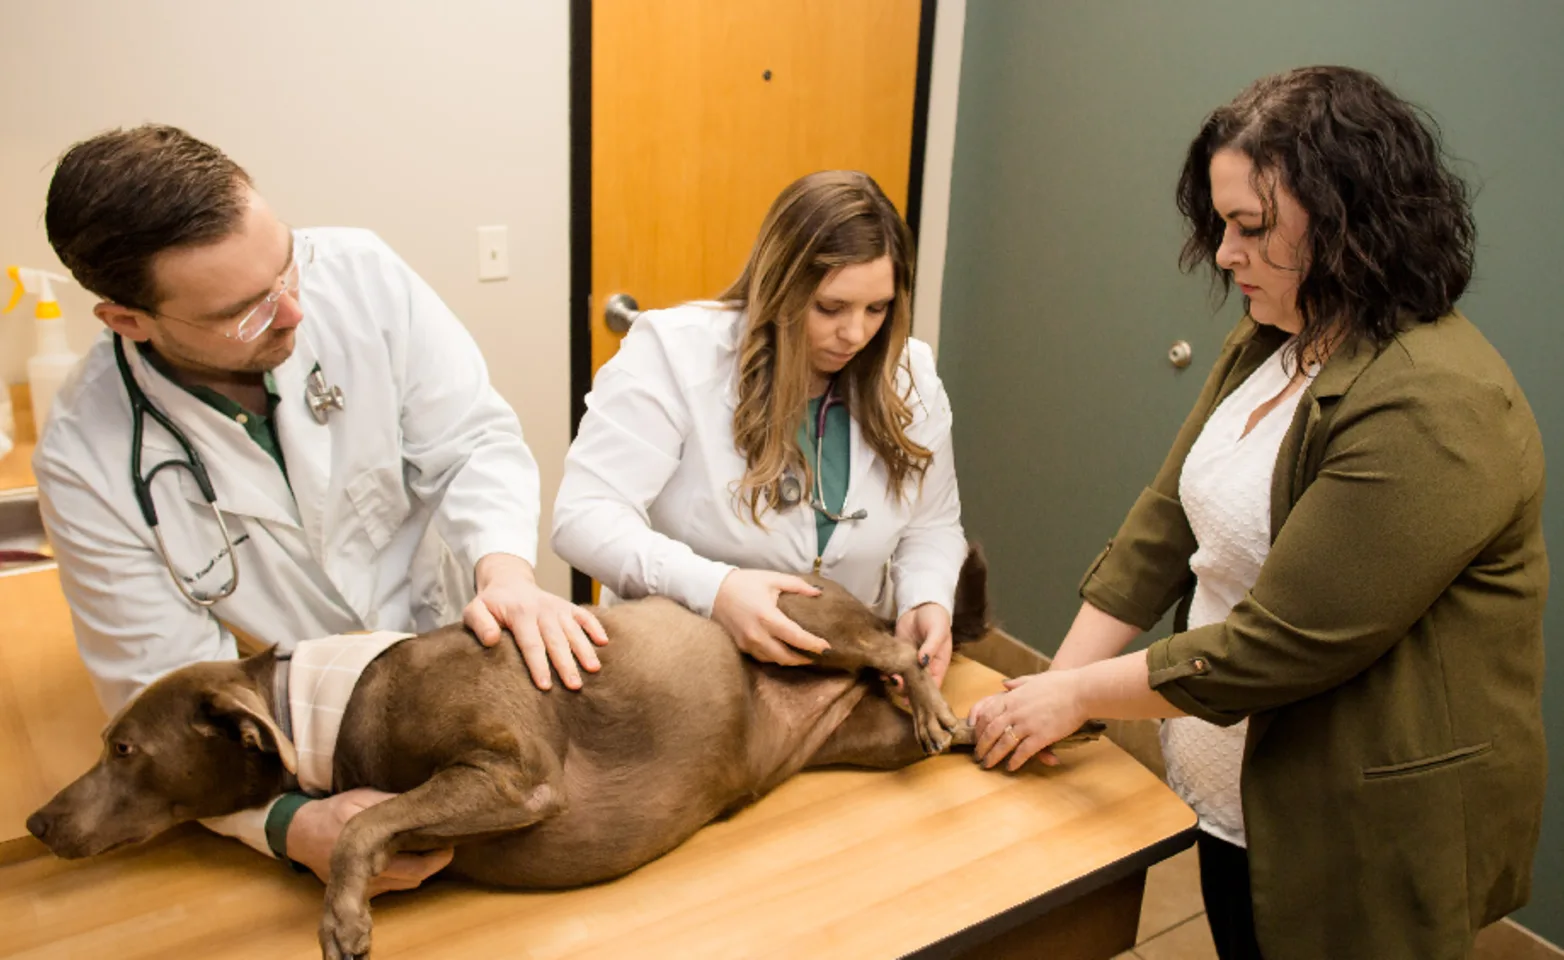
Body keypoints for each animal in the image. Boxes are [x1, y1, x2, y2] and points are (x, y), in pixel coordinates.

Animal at [24, 544, 1101, 956]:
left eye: (124, 748)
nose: (33, 820)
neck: (331, 704)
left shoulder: (513, 775)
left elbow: (369, 819)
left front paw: (344, 919)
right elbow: (371, 817)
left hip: (805, 626)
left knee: (898, 652)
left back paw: (942, 699)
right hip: (860, 737)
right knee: (909, 700)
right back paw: (1027, 721)